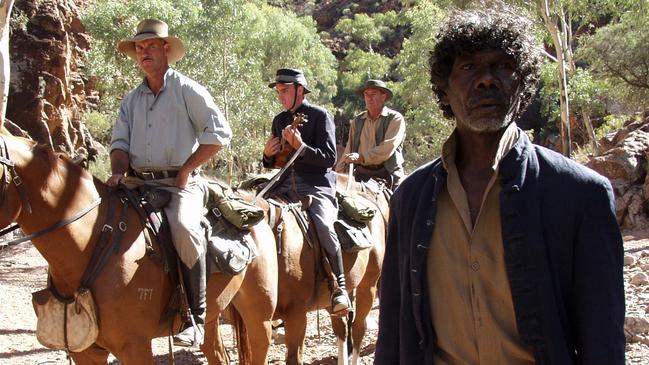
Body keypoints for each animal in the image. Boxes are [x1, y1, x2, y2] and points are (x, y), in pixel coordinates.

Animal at [246, 171, 388, 364]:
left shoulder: (296, 314)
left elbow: (293, 357)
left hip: (368, 285)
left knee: (359, 327)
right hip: (330, 297)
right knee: (342, 327)